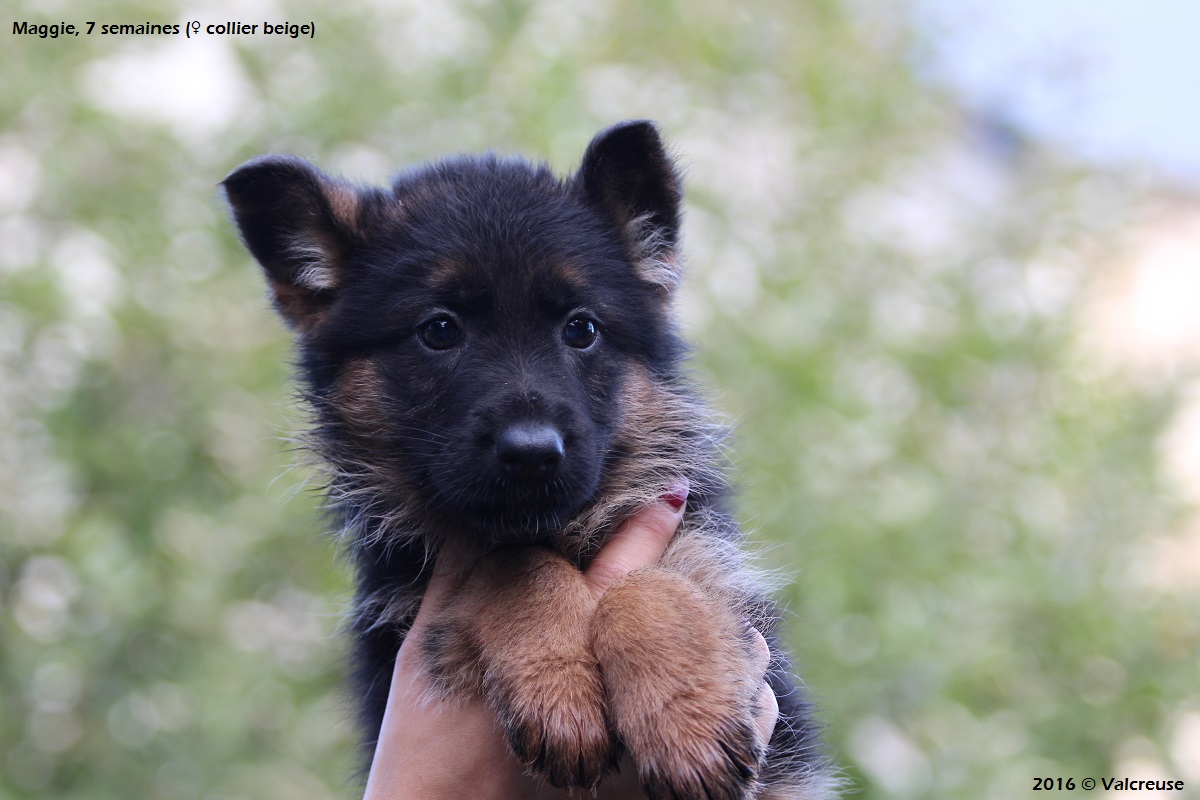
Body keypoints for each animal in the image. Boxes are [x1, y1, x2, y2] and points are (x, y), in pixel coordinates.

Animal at [223, 120, 837, 799]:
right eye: (439, 330)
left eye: (581, 329)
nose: (532, 454)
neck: (557, 529)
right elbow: (513, 564)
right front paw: (560, 691)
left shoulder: (706, 555)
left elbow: (651, 583)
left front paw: (687, 722)